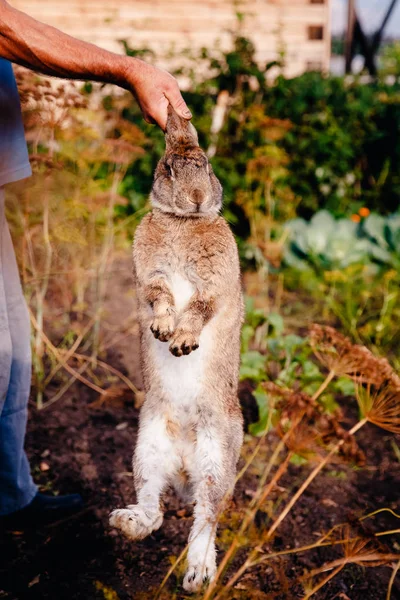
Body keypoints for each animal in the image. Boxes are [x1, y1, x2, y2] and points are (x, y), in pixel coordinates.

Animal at [108, 105, 244, 592]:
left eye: (207, 165)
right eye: (168, 168)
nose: (199, 198)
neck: (185, 223)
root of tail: (185, 463)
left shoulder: (214, 285)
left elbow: (200, 307)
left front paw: (183, 341)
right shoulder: (152, 275)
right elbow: (161, 296)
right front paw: (163, 330)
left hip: (218, 456)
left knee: (206, 518)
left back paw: (198, 574)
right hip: (147, 449)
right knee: (155, 511)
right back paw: (123, 522)